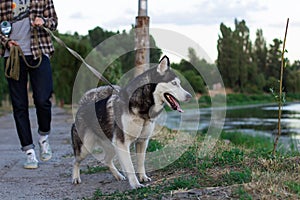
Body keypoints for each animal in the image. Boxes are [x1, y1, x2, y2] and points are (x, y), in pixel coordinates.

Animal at [71, 55, 191, 188]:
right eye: (174, 83)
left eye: (179, 84)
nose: (189, 96)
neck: (142, 111)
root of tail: (82, 105)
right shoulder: (122, 143)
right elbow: (129, 166)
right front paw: (135, 184)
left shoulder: (142, 141)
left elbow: (140, 163)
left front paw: (143, 177)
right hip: (86, 148)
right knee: (75, 161)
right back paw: (75, 178)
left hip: (112, 145)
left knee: (107, 160)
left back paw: (118, 175)